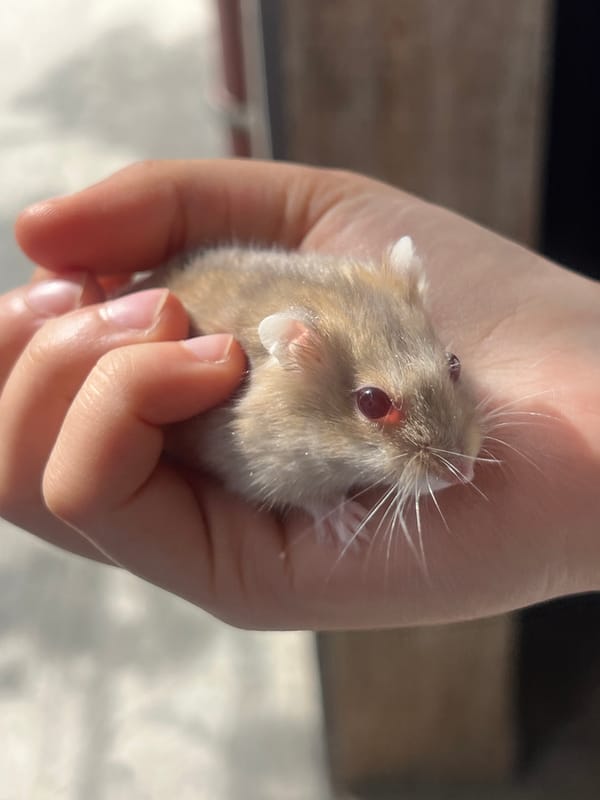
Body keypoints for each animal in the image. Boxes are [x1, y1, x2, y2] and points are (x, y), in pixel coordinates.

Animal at [149, 238, 482, 536]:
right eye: (372, 402)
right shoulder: (257, 469)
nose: (466, 475)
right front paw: (353, 527)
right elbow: (312, 498)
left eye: (454, 364)